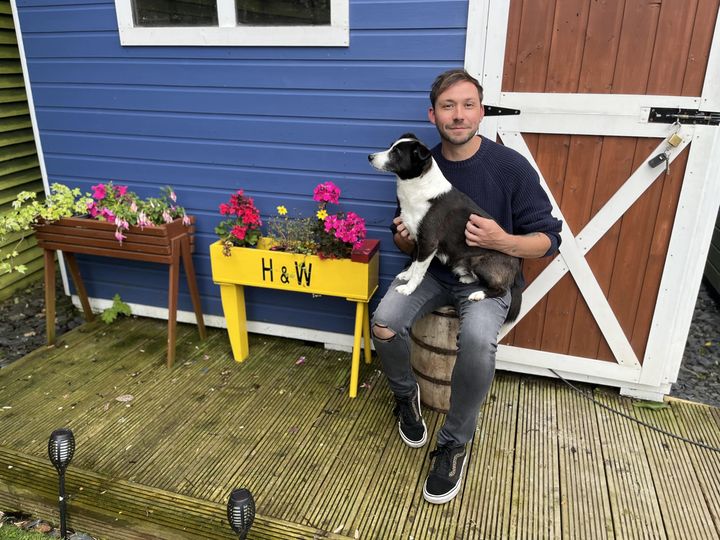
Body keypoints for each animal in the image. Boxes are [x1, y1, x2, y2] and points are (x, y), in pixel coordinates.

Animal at [368, 133, 520, 322]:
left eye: (396, 153)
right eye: (391, 146)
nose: (370, 157)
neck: (418, 185)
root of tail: (516, 267)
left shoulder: (428, 242)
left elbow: (419, 270)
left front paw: (409, 288)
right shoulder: (417, 240)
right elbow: (414, 261)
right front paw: (407, 275)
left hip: (481, 262)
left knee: (501, 289)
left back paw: (478, 294)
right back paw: (467, 278)